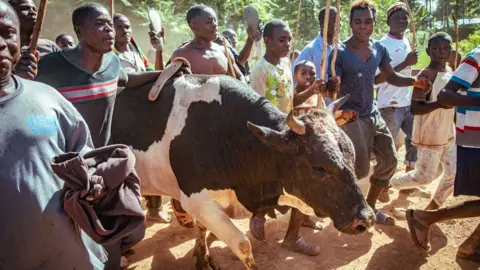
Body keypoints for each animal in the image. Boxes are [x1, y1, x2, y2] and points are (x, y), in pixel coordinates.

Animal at [111, 75, 376, 268]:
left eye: (351, 156)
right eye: (319, 168)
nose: (365, 219)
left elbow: (203, 229)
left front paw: (202, 258)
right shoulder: (196, 199)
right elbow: (243, 245)